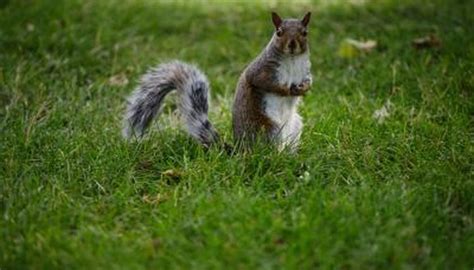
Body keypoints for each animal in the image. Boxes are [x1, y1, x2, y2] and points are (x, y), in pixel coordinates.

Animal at [124, 12, 312, 152]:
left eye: (305, 32)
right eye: (279, 32)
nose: (292, 45)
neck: (292, 60)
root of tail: (241, 150)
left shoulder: (305, 70)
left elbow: (309, 80)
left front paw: (305, 88)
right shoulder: (261, 70)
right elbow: (264, 82)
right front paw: (286, 90)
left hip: (295, 126)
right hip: (267, 129)